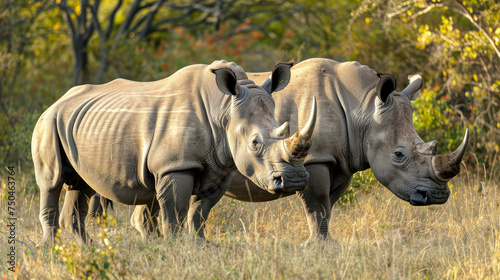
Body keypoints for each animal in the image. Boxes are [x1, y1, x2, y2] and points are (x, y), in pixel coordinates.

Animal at [33, 60, 318, 244]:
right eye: (255, 143)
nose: (294, 181)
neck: (223, 108)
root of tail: (57, 100)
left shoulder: (221, 166)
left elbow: (200, 211)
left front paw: (201, 245)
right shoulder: (175, 166)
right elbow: (174, 212)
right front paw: (176, 246)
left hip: (77, 125)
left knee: (81, 185)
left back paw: (86, 249)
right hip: (47, 123)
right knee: (51, 182)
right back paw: (52, 250)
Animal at [123, 58, 466, 242]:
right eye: (399, 155)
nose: (437, 196)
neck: (364, 108)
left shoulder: (342, 160)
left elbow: (328, 206)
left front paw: (325, 242)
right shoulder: (315, 159)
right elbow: (317, 204)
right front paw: (318, 246)